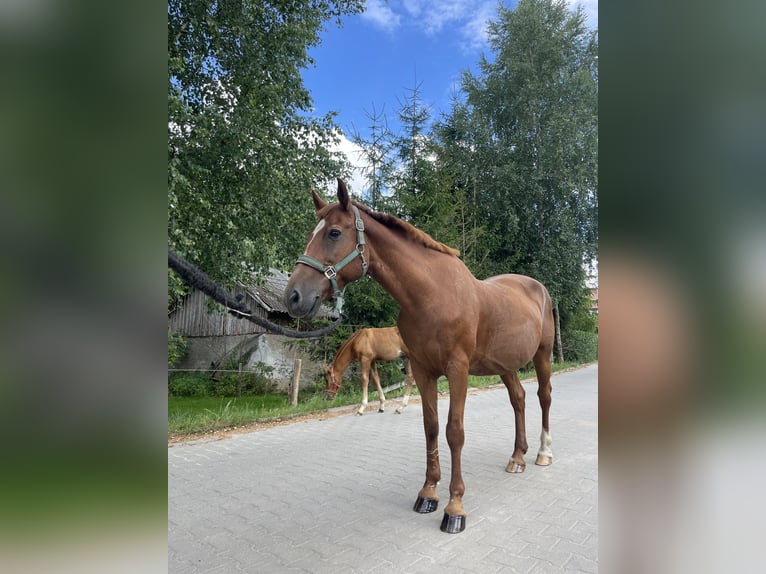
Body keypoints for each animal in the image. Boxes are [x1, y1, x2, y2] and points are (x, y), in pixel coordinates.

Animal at [284, 179, 555, 534]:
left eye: (334, 233)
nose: (293, 296)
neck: (432, 295)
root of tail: (538, 288)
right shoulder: (424, 370)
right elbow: (431, 427)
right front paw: (428, 494)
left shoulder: (457, 370)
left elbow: (455, 431)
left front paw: (455, 507)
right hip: (505, 364)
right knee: (519, 399)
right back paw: (517, 458)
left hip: (543, 355)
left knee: (543, 396)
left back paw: (543, 453)